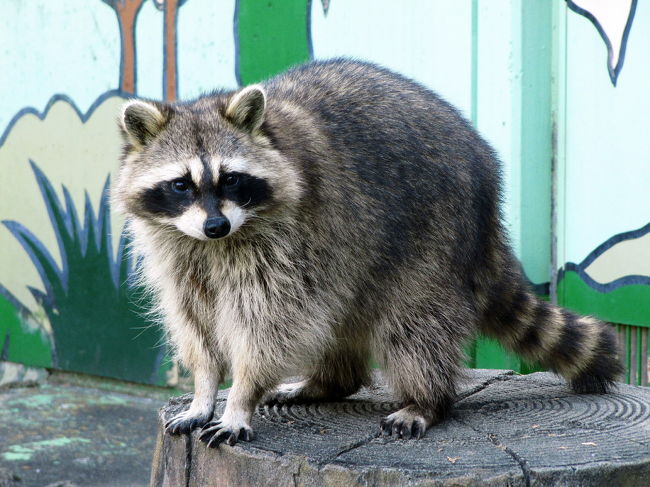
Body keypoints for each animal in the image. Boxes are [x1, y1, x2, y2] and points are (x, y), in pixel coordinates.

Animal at [112, 59, 624, 448]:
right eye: (181, 184)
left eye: (232, 179)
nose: (216, 225)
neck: (214, 245)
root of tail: (488, 199)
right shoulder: (180, 252)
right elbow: (195, 323)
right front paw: (204, 390)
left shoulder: (288, 240)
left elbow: (268, 326)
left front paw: (240, 398)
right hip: (353, 257)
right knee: (338, 316)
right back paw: (329, 381)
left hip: (435, 235)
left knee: (414, 327)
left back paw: (427, 400)